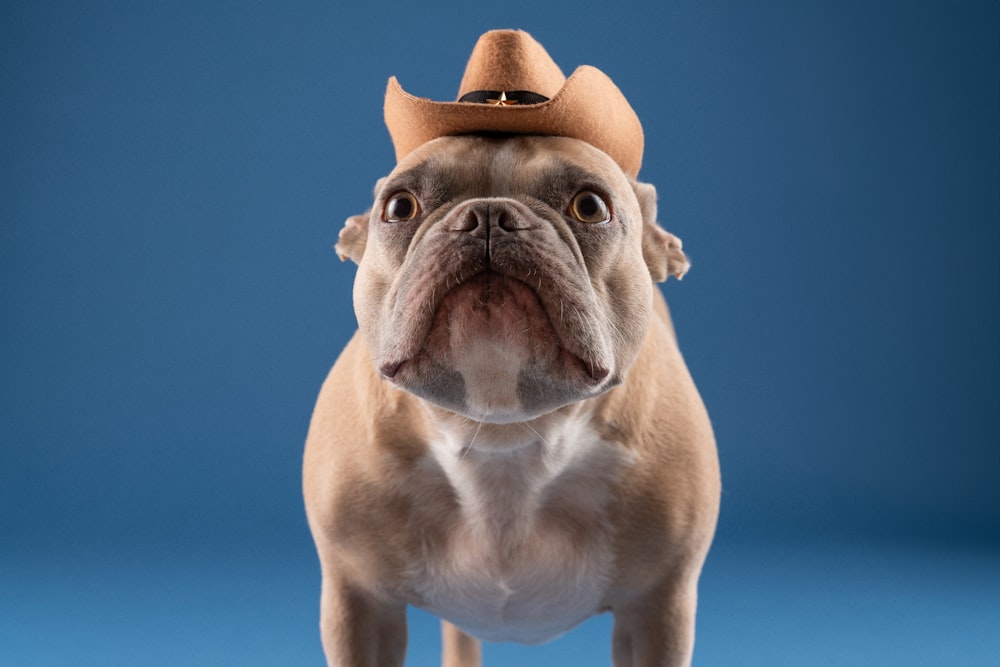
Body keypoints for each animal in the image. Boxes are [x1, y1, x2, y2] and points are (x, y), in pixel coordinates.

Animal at [300, 28, 716, 664]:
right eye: (399, 206)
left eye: (590, 206)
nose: (489, 216)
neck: (504, 442)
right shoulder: (358, 605)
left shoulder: (658, 609)